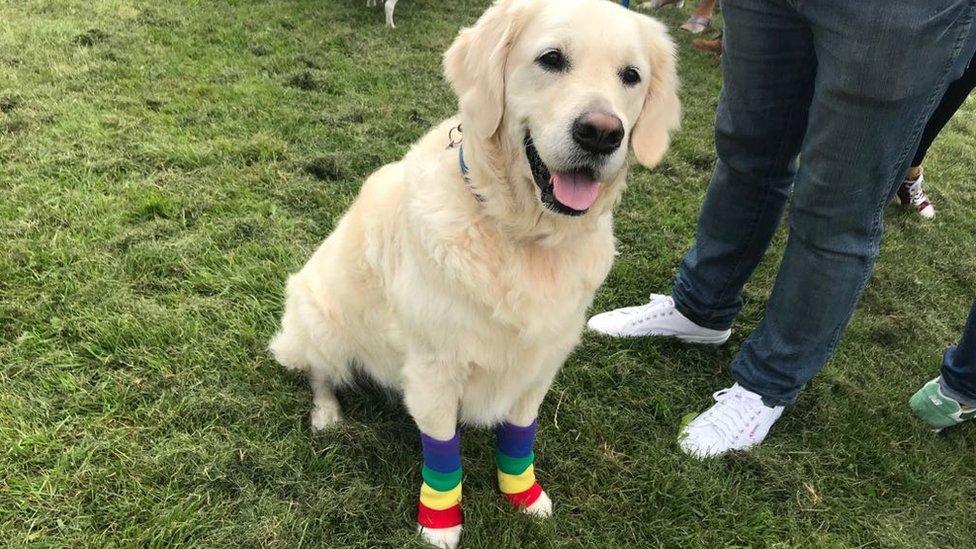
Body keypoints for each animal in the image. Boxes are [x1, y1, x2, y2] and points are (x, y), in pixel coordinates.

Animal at [266, 1, 680, 544]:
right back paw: (327, 415)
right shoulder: (435, 368)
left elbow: (520, 436)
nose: (601, 132)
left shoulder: (540, 364)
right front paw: (440, 523)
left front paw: (523, 495)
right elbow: (444, 452)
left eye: (631, 76)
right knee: (318, 372)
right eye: (551, 59)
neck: (524, 239)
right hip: (319, 316)